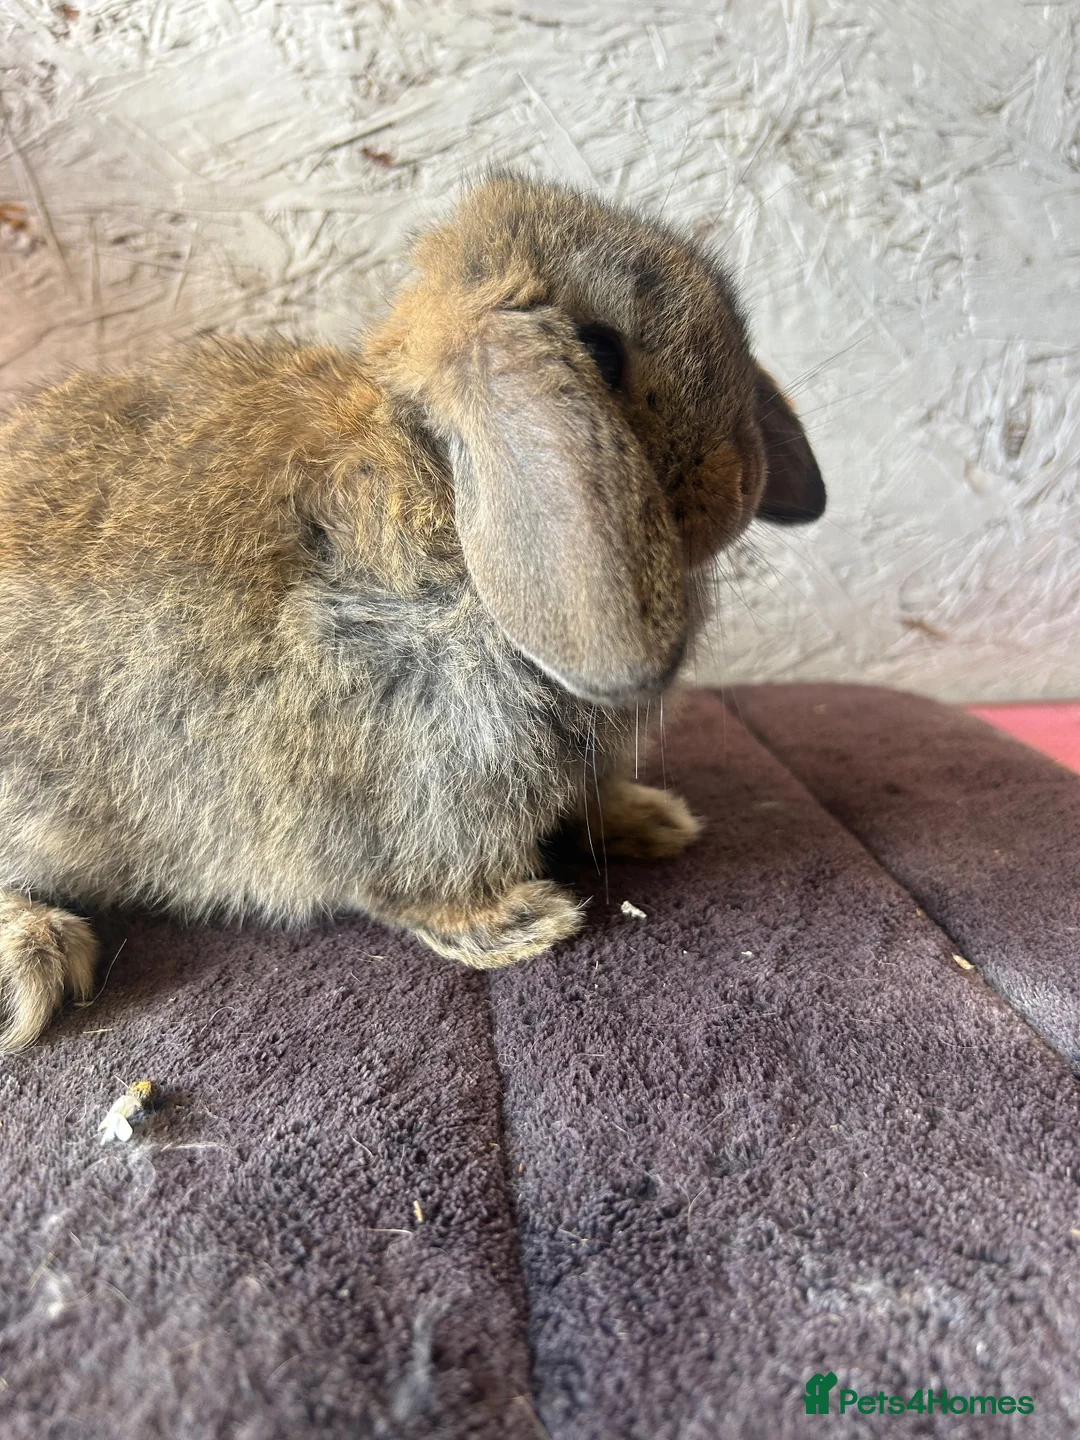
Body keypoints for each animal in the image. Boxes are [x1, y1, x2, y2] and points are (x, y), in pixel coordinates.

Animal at [0, 172, 824, 1052]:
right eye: (600, 353)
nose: (743, 486)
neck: (444, 479)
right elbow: (410, 878)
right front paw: (518, 924)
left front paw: (654, 822)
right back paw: (37, 960)